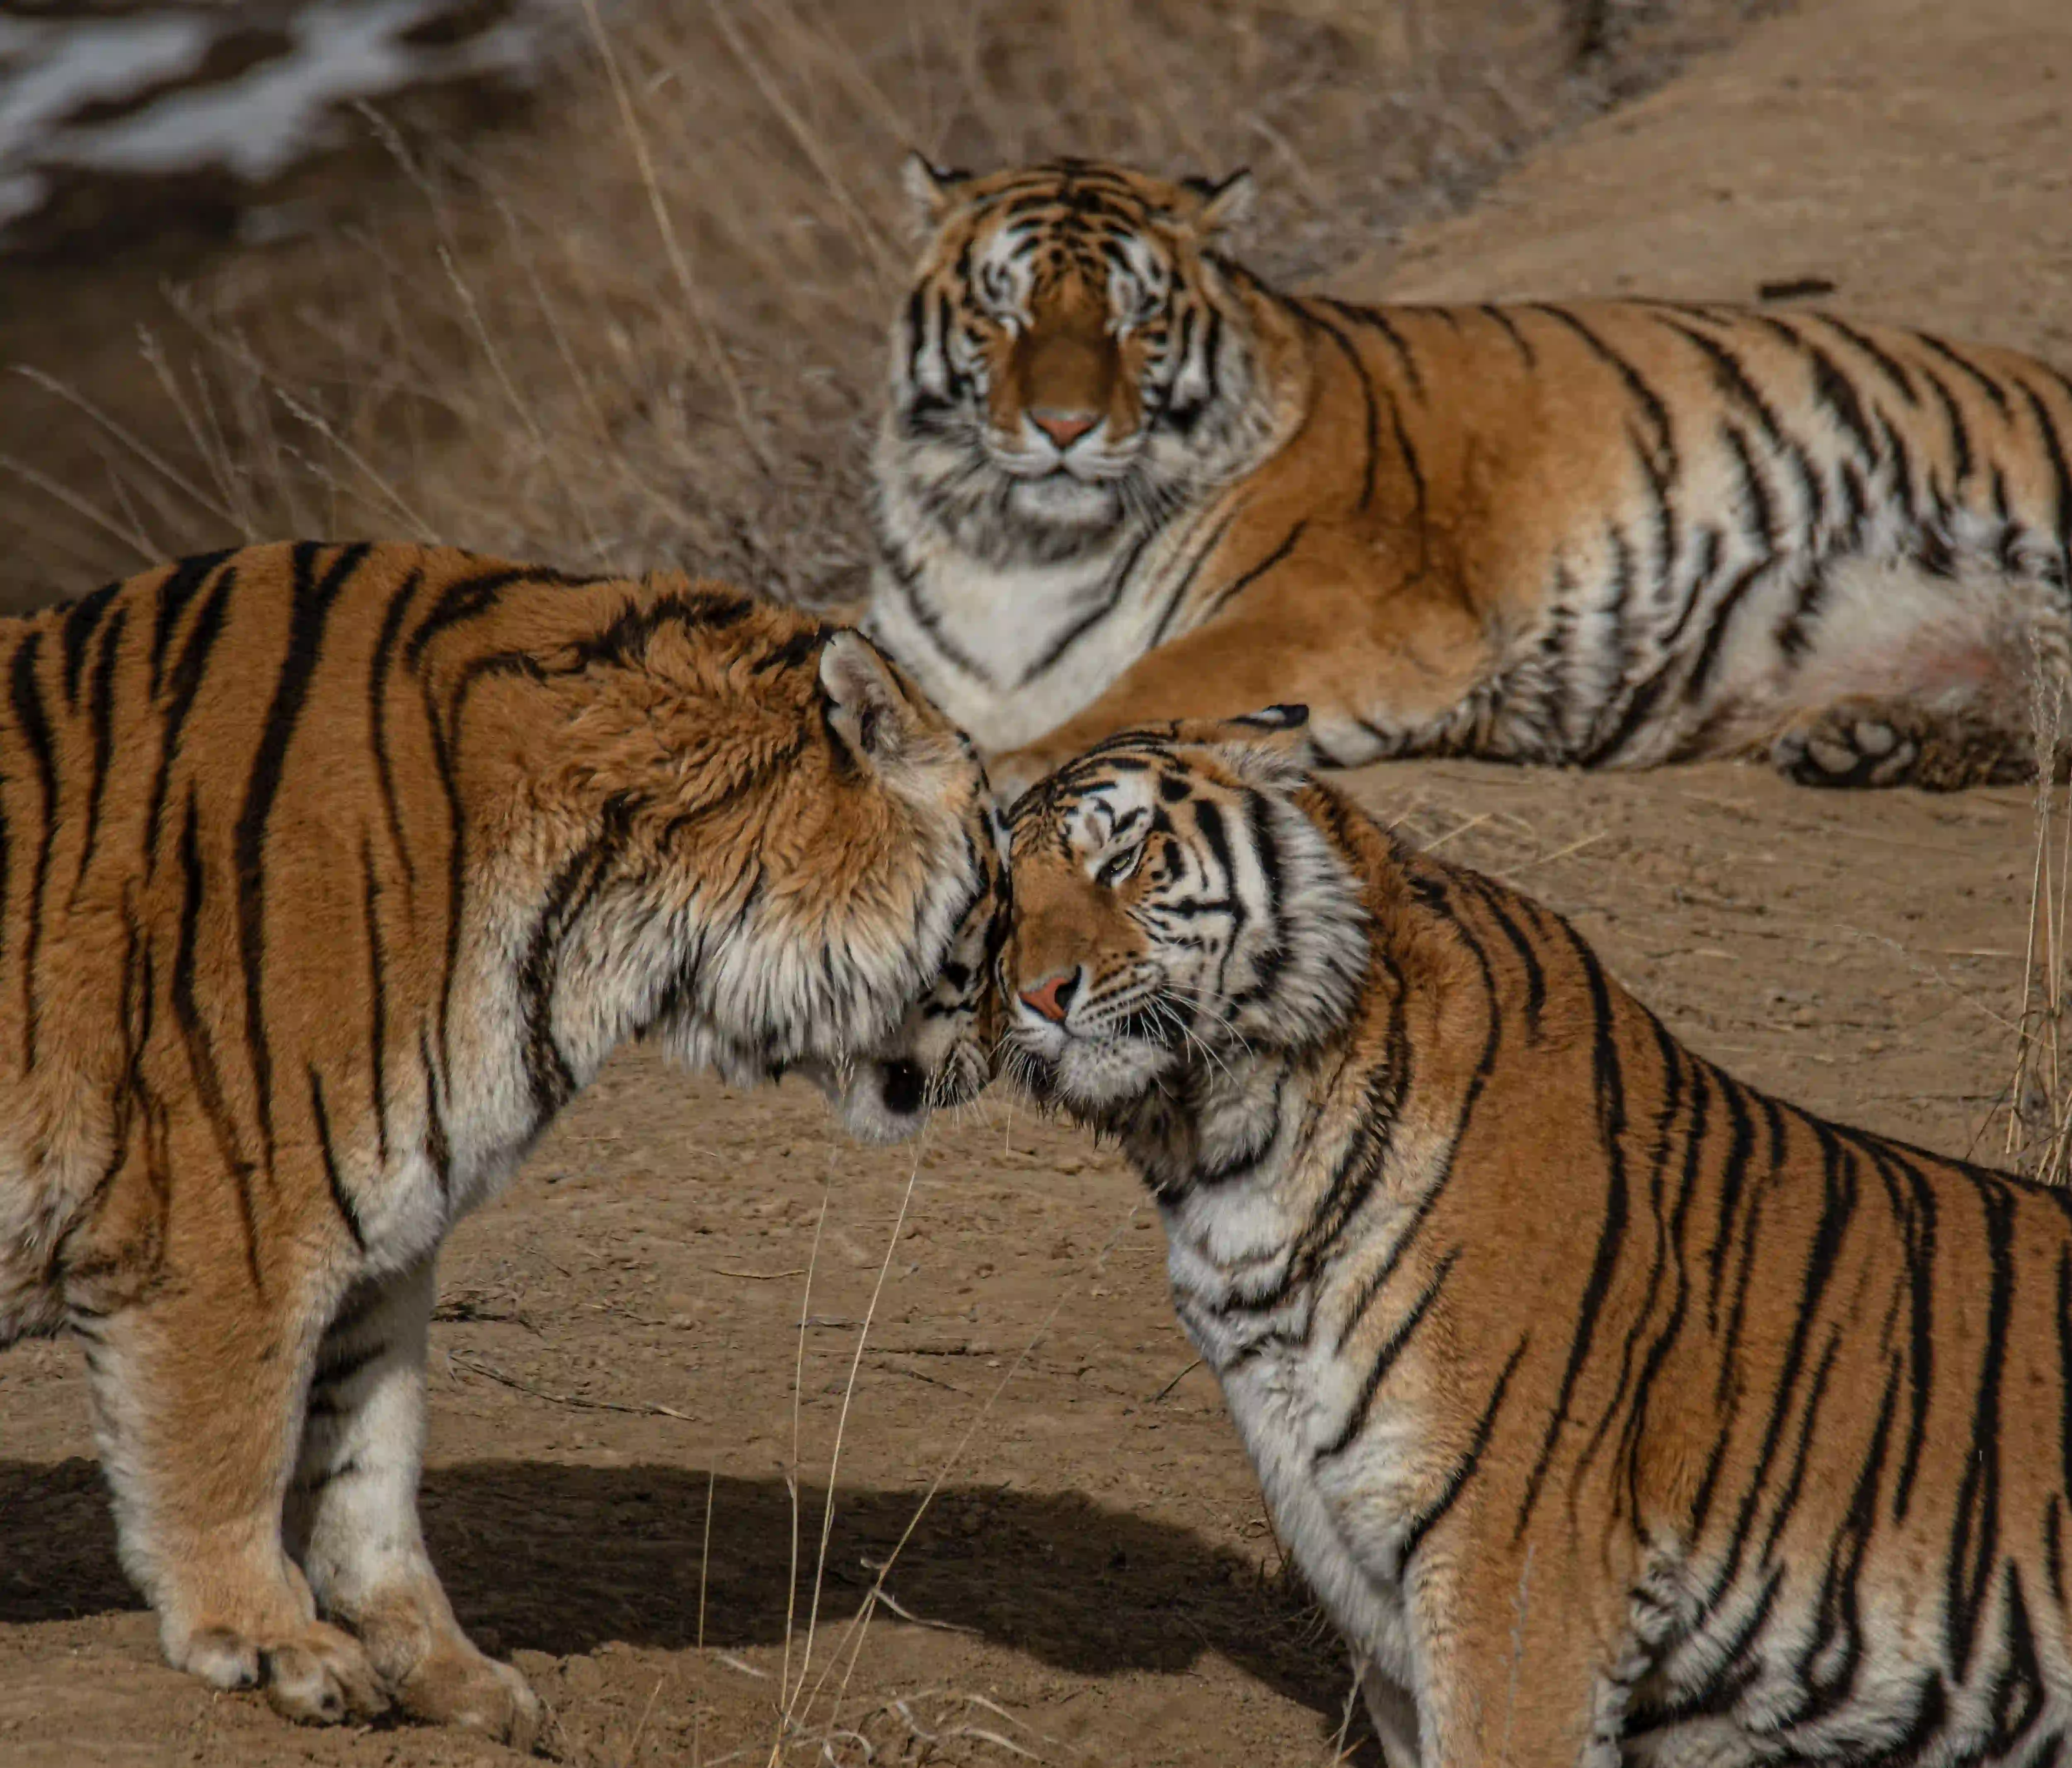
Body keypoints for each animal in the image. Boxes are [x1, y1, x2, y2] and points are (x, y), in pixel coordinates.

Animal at [0, 543, 1003, 1749]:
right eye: (999, 885)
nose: (1007, 1046)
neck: (622, 917)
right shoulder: (225, 1223)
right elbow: (228, 1449)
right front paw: (276, 1645)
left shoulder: (379, 1245)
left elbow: (371, 1466)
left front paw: (450, 1673)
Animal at [866, 155, 2072, 804]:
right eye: (1004, 312)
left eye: (1134, 320)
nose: (1063, 426)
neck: (1014, 546)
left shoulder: (1334, 610)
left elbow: (1150, 682)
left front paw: (1010, 766)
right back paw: (1864, 740)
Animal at [999, 709, 2072, 1766]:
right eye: (1005, 900)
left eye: (1124, 856)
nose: (1037, 996)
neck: (1232, 1161)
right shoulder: (1369, 1595)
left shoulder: (1515, 1575)